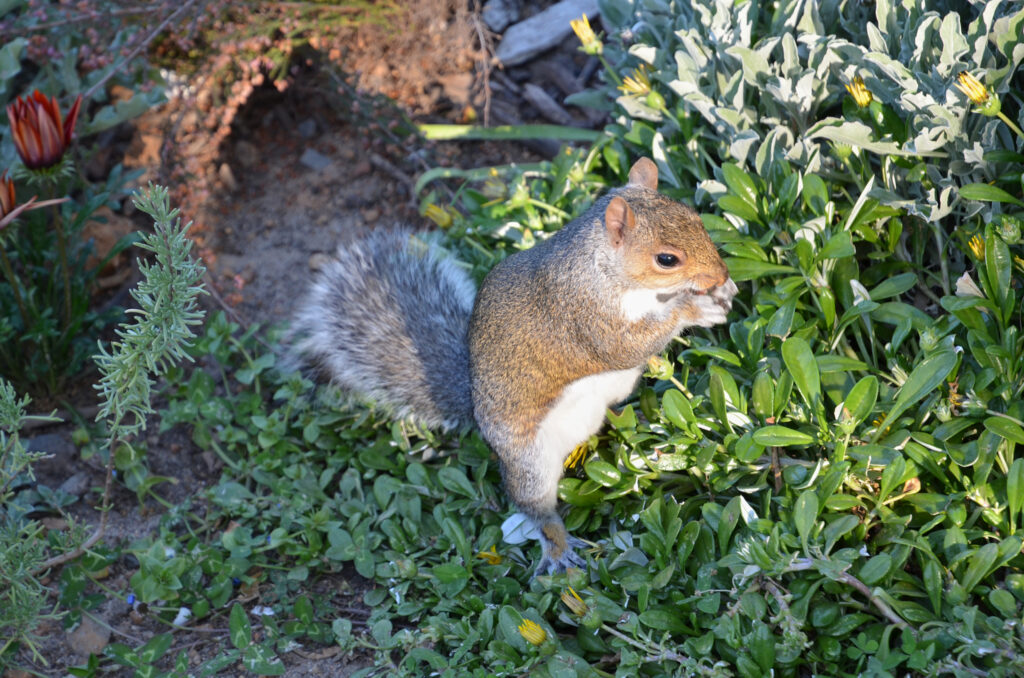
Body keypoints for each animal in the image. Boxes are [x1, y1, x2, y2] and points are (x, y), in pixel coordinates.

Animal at [288, 157, 737, 573]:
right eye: (666, 259)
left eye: (696, 219)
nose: (721, 273)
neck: (603, 270)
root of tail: (475, 405)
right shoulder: (588, 321)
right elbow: (627, 347)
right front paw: (693, 307)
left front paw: (720, 292)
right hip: (529, 459)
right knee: (534, 506)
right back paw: (558, 547)